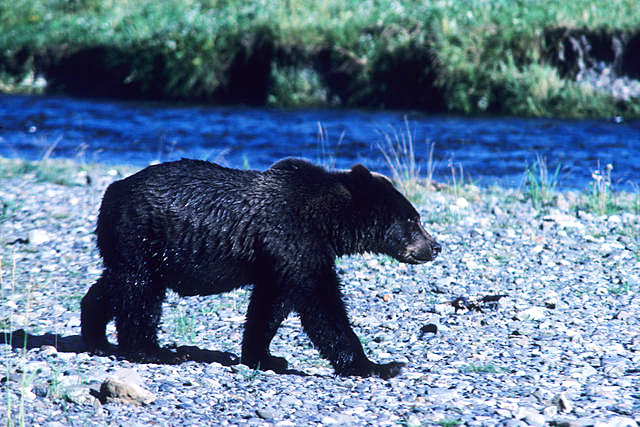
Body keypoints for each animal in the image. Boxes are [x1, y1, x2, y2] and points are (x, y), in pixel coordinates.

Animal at [81, 158, 441, 378]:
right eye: (412, 219)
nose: (435, 246)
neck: (327, 221)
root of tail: (110, 191)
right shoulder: (291, 235)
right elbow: (321, 304)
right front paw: (377, 365)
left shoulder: (278, 257)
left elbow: (269, 305)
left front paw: (265, 356)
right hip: (142, 236)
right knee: (140, 291)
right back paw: (152, 350)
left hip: (134, 246)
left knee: (114, 284)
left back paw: (96, 336)